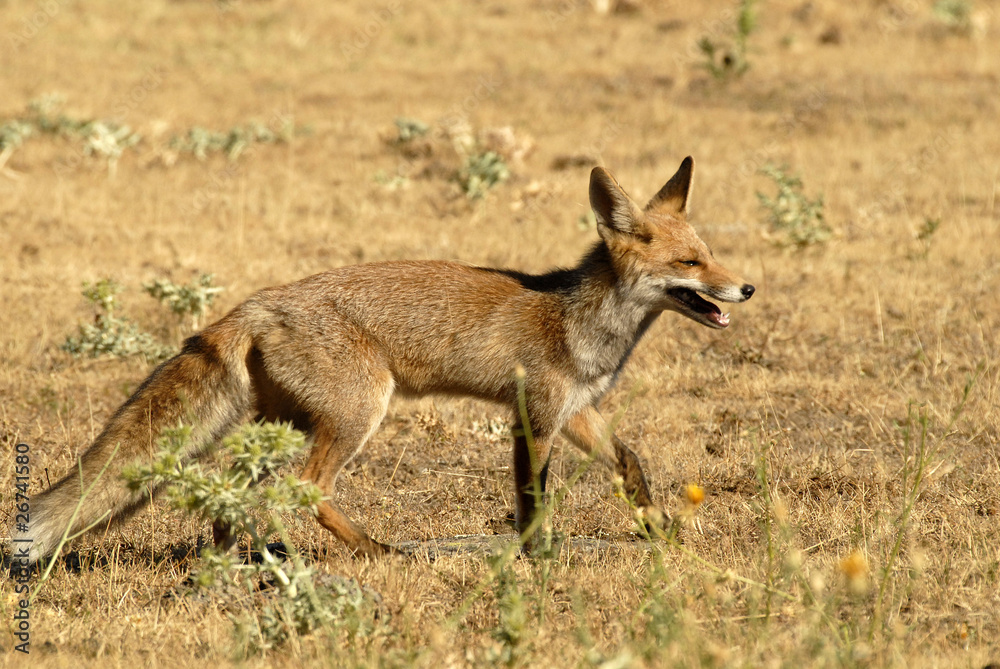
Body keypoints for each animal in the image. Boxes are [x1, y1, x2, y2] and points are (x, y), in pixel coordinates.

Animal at [11, 158, 752, 564]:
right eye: (691, 263)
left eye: (712, 253)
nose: (746, 288)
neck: (582, 323)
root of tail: (255, 303)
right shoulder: (534, 417)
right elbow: (533, 499)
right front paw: (537, 557)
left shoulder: (576, 412)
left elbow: (632, 463)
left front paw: (656, 529)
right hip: (357, 413)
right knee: (309, 489)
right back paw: (376, 552)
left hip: (286, 425)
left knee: (240, 490)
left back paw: (232, 558)